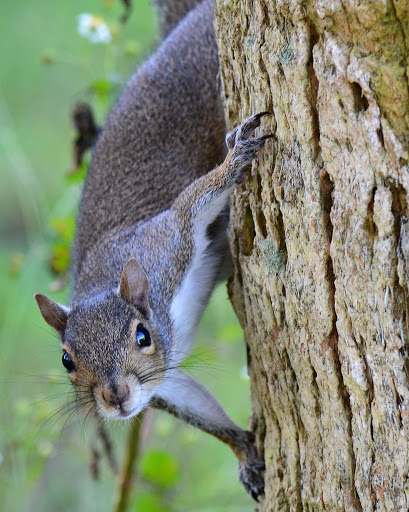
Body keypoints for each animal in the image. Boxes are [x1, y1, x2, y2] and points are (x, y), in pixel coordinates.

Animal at [34, 0, 268, 498]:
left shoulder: (168, 242)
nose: (116, 398)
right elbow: (195, 405)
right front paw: (244, 452)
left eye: (142, 336)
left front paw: (233, 161)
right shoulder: (160, 380)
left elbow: (193, 202)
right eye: (67, 360)